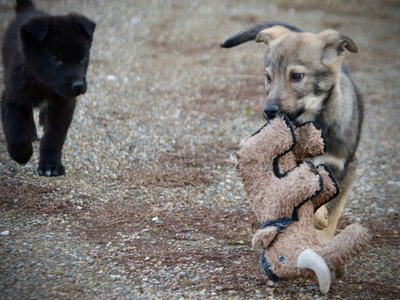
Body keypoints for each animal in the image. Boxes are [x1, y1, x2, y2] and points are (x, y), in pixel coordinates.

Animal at [0, 0, 95, 177]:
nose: (78, 85)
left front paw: (50, 166)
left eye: (83, 58)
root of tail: (28, 11)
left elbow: (54, 137)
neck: (44, 85)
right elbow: (16, 131)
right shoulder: (12, 97)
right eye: (55, 59)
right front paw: (22, 154)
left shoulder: (63, 105)